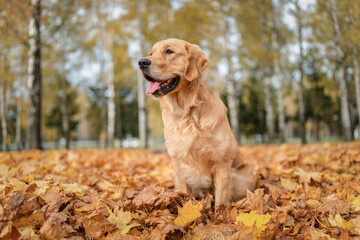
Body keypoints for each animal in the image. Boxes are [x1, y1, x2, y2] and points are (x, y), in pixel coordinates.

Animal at [139, 38, 256, 205]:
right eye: (151, 53)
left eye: (169, 51)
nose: (141, 62)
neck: (186, 112)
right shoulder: (177, 161)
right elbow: (184, 194)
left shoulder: (221, 162)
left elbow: (221, 199)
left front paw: (220, 212)